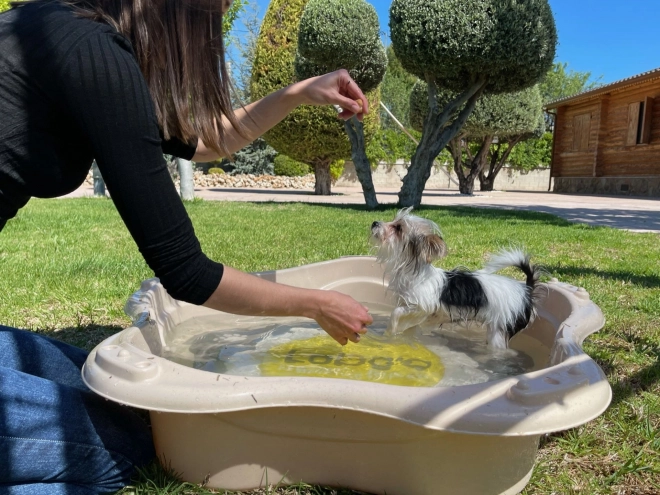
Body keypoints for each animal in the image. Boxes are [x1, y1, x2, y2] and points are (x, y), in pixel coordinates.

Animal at [368, 208, 544, 348]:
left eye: (398, 228)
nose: (374, 222)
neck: (412, 273)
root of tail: (526, 290)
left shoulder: (421, 306)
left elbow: (396, 312)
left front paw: (390, 330)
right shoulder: (417, 312)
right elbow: (410, 326)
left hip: (499, 332)